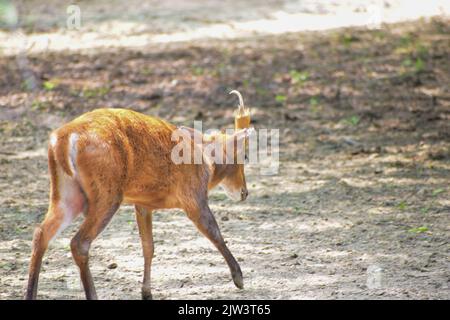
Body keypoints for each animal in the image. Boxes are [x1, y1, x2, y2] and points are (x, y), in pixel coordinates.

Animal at [25, 90, 253, 300]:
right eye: (245, 156)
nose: (244, 192)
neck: (207, 162)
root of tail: (62, 140)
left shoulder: (142, 204)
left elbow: (148, 246)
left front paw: (146, 293)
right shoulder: (193, 195)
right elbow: (214, 232)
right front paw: (239, 278)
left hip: (67, 194)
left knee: (41, 233)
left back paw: (30, 294)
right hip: (107, 193)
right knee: (79, 242)